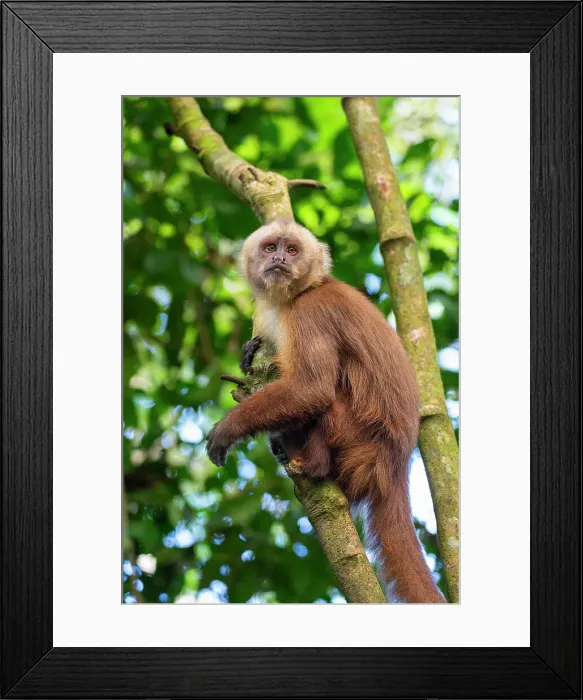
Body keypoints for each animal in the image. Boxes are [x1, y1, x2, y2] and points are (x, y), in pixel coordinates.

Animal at [206, 219, 445, 604]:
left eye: (292, 250)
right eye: (271, 247)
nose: (279, 260)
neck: (296, 296)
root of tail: (396, 465)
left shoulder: (310, 312)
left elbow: (312, 389)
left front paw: (229, 429)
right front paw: (247, 354)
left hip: (360, 441)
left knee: (328, 399)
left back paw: (313, 462)